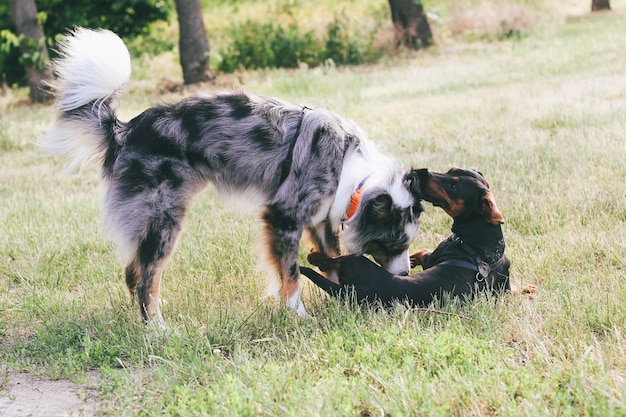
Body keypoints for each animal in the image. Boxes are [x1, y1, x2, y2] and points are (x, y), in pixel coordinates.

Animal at [300, 167, 510, 308]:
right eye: (451, 170)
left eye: (453, 185)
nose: (421, 171)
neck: (481, 245)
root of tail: (358, 293)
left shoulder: (431, 257)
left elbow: (422, 253)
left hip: (356, 262)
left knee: (330, 261)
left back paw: (313, 256)